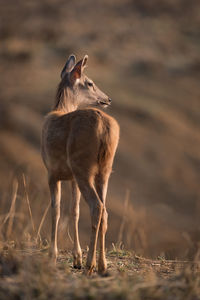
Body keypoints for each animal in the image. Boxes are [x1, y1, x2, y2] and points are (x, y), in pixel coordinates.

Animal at [40, 53, 119, 274]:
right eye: (90, 82)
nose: (108, 98)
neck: (60, 109)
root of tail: (105, 127)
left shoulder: (52, 172)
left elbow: (56, 209)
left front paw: (52, 255)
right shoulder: (71, 177)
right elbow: (74, 211)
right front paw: (76, 257)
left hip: (83, 167)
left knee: (96, 207)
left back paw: (91, 265)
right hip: (104, 170)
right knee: (104, 211)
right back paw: (102, 265)